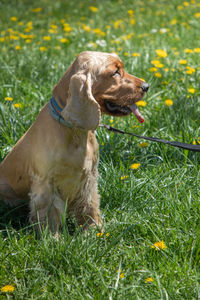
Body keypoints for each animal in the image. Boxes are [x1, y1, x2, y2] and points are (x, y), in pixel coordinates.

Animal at [0, 51, 148, 233]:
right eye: (115, 72)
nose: (146, 86)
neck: (76, 133)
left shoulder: (89, 178)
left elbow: (90, 206)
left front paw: (94, 231)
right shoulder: (46, 184)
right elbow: (49, 215)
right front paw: (52, 238)